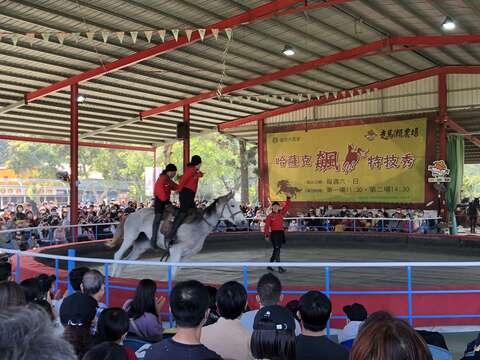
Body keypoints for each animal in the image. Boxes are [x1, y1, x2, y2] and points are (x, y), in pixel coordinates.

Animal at [110, 193, 246, 278]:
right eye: (232, 205)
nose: (244, 221)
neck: (197, 227)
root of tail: (131, 215)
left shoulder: (187, 256)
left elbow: (174, 272)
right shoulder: (176, 250)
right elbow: (173, 270)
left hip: (140, 247)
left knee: (125, 261)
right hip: (129, 238)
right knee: (117, 255)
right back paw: (112, 276)